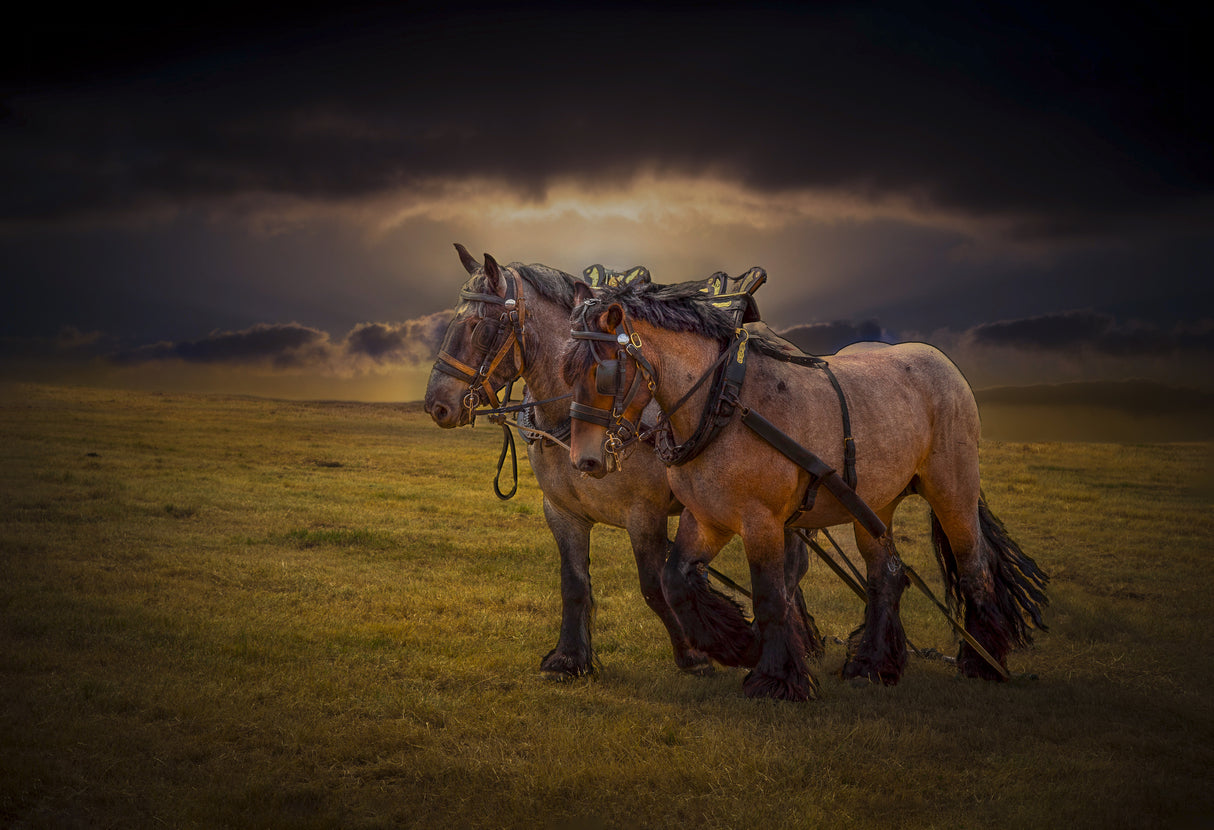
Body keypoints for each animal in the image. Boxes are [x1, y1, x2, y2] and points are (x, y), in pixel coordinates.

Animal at [423, 245, 822, 679]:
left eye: (479, 327)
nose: (436, 405)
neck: (576, 418)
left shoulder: (644, 514)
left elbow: (653, 587)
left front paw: (695, 654)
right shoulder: (562, 512)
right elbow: (574, 584)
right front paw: (569, 658)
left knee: (790, 568)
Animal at [562, 279, 1048, 701]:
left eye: (603, 373)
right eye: (568, 373)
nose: (584, 461)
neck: (723, 402)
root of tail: (945, 365)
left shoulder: (761, 520)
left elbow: (770, 596)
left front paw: (776, 679)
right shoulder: (706, 518)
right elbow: (675, 580)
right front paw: (739, 646)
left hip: (953, 489)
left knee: (974, 569)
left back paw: (981, 661)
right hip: (874, 505)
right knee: (886, 577)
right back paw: (872, 665)